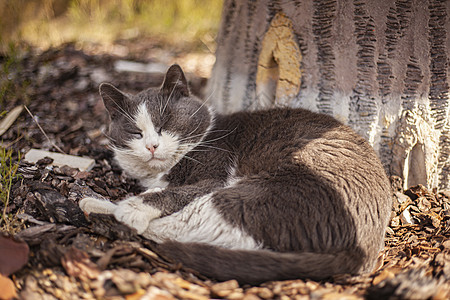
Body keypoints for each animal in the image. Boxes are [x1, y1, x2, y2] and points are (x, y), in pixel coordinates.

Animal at [79, 63, 392, 284]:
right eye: (135, 132)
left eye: (165, 123)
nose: (152, 146)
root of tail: (363, 250)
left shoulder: (215, 175)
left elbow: (173, 194)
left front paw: (133, 207)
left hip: (260, 195)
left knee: (183, 229)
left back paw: (109, 210)